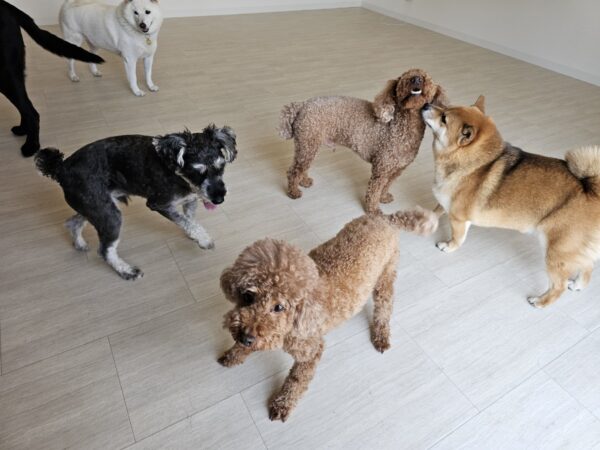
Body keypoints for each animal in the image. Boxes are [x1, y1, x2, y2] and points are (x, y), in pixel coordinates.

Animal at [35, 125, 237, 280]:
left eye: (221, 166)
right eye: (197, 172)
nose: (219, 198)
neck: (176, 171)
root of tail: (62, 168)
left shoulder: (190, 199)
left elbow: (190, 220)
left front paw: (196, 237)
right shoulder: (159, 204)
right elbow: (186, 221)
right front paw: (204, 238)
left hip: (97, 207)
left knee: (73, 222)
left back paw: (79, 243)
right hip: (109, 215)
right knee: (105, 250)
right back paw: (126, 271)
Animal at [218, 207, 438, 421]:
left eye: (279, 307)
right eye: (248, 295)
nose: (245, 337)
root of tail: (385, 218)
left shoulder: (311, 350)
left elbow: (296, 380)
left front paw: (283, 404)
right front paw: (234, 354)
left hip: (385, 277)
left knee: (384, 308)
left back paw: (381, 335)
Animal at [279, 68, 448, 214]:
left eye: (426, 78)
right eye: (405, 77)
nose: (416, 79)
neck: (400, 127)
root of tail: (301, 105)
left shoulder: (396, 170)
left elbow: (386, 186)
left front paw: (384, 198)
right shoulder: (381, 168)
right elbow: (374, 191)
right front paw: (373, 210)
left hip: (308, 145)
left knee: (301, 167)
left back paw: (304, 181)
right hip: (307, 144)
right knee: (293, 171)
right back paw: (294, 191)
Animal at [422, 95, 600, 308]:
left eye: (444, 118)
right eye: (445, 108)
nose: (425, 104)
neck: (475, 163)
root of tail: (593, 191)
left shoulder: (458, 218)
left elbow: (457, 238)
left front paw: (448, 247)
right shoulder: (445, 203)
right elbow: (436, 210)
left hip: (556, 252)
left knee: (559, 286)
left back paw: (540, 302)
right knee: (587, 268)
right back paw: (578, 285)